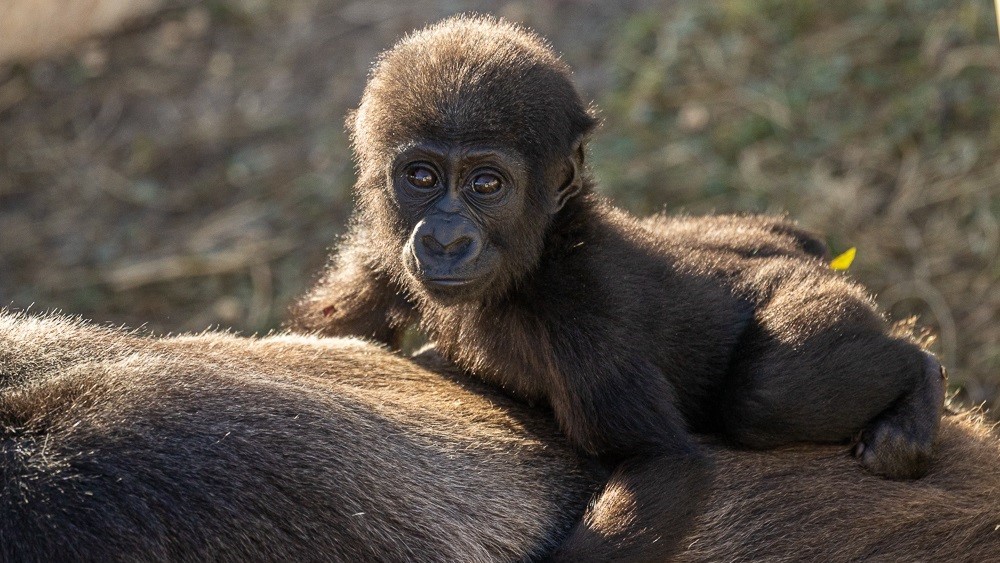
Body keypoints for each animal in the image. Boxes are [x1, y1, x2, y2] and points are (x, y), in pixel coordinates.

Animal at [292, 15, 948, 560]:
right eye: (421, 177)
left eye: (486, 184)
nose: (446, 241)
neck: (546, 244)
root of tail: (807, 251)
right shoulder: (385, 250)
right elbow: (328, 332)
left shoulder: (581, 314)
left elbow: (660, 462)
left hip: (814, 295)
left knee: (770, 395)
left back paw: (919, 376)